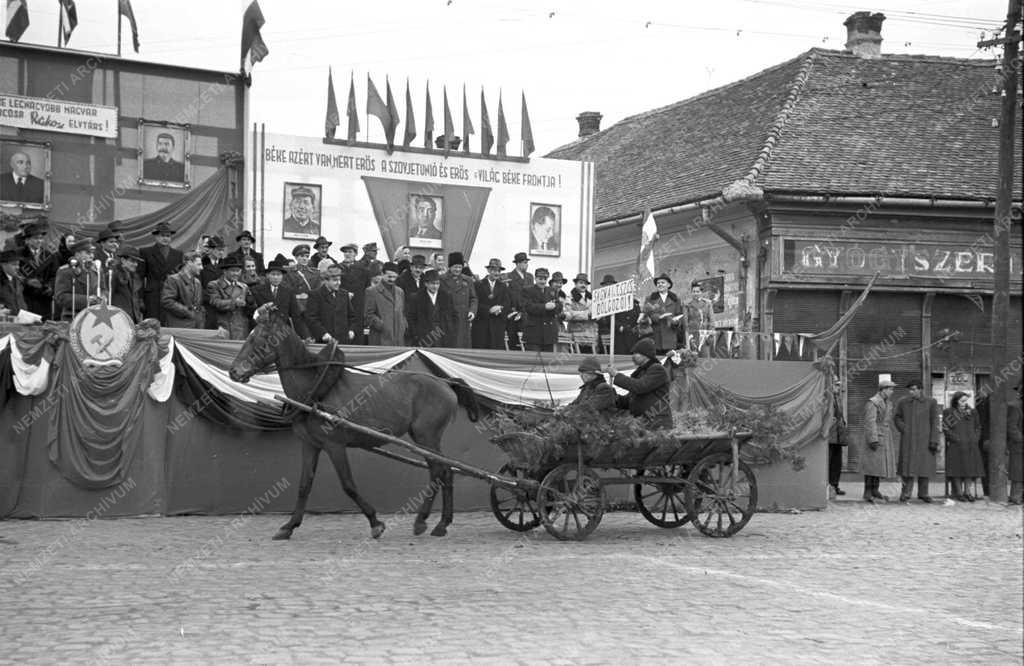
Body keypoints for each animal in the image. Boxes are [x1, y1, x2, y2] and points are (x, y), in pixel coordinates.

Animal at [228, 305, 479, 540]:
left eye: (258, 337)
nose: (233, 371)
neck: (316, 389)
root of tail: (446, 383)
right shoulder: (310, 445)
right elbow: (304, 485)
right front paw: (288, 526)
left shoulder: (335, 445)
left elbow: (348, 484)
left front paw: (375, 522)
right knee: (446, 471)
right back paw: (442, 524)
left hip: (426, 435)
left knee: (438, 471)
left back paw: (422, 520)